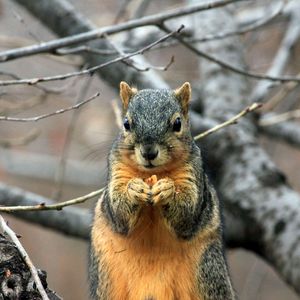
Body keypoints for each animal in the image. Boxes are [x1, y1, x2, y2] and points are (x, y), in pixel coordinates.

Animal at [89, 82, 237, 300]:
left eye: (177, 123)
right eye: (126, 123)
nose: (149, 152)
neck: (153, 173)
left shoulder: (192, 175)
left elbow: (187, 213)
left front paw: (168, 190)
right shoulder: (117, 172)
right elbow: (118, 212)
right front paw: (134, 189)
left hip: (207, 272)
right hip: (105, 279)